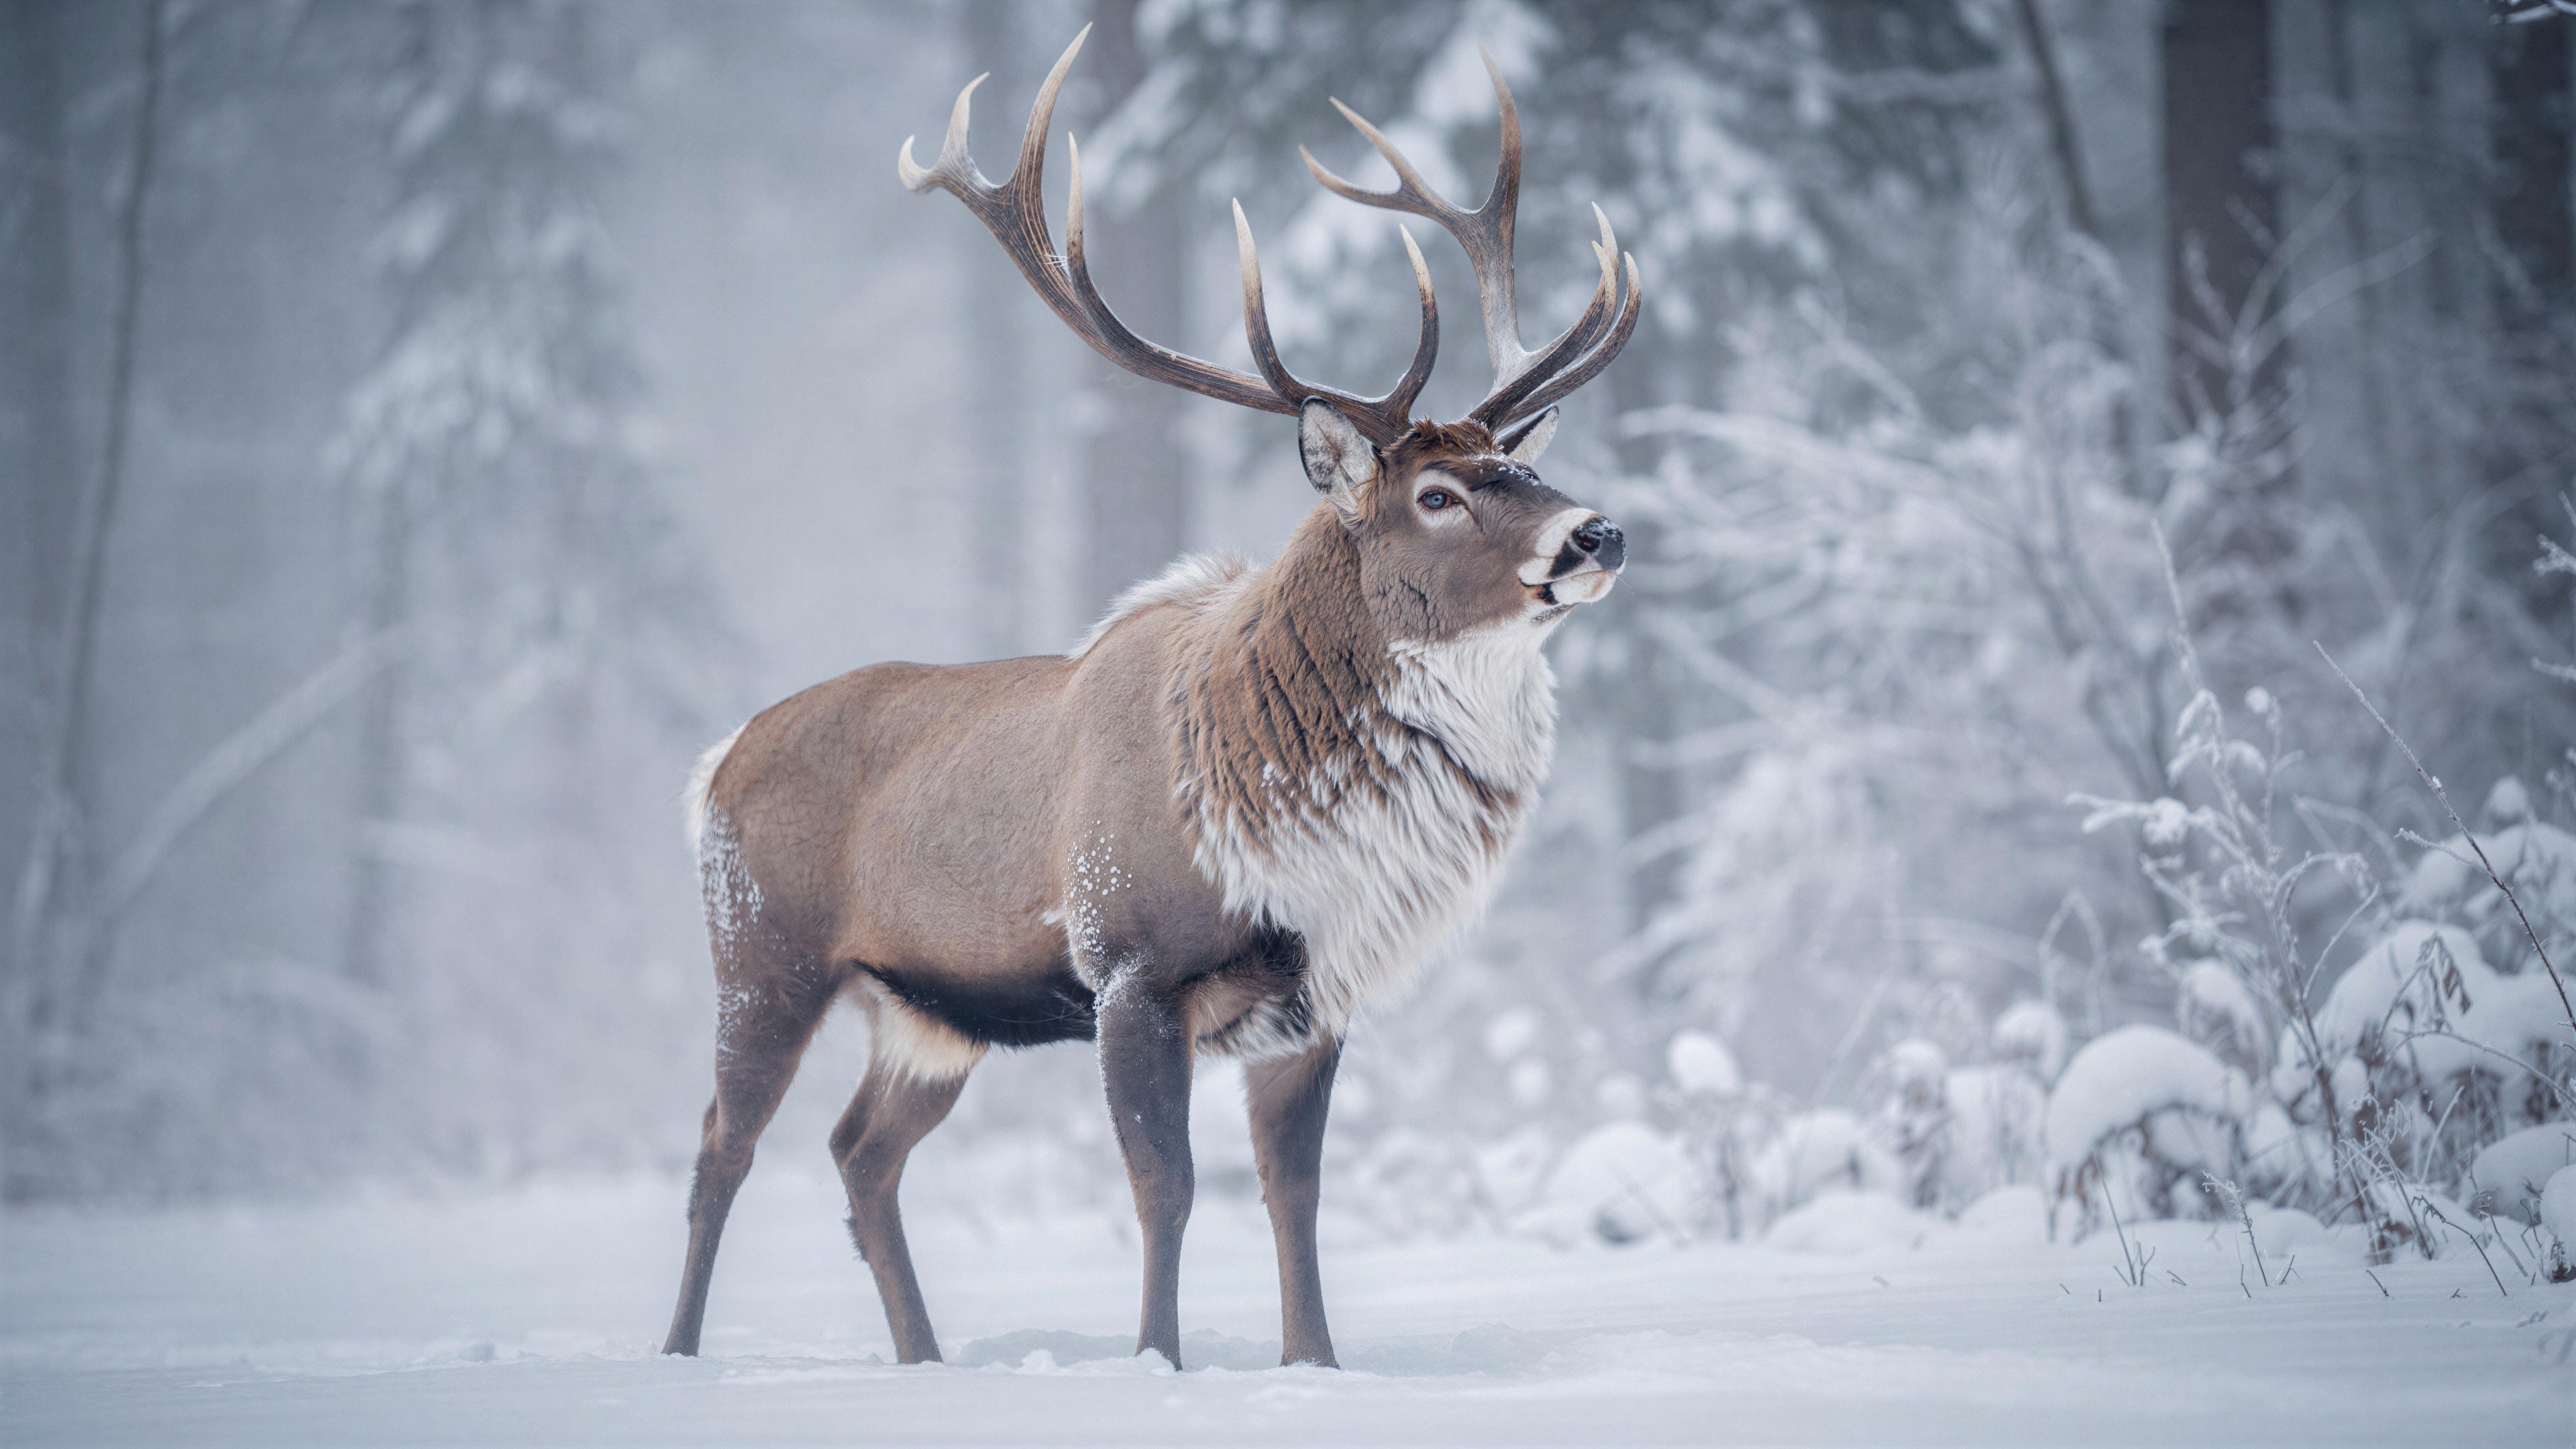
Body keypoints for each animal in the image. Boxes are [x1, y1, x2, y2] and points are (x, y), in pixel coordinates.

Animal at [660, 26, 1638, 1371]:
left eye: (1520, 462)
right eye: (1435, 494)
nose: (1597, 531)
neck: (1274, 813)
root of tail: (714, 762)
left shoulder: (1312, 999)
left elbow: (1293, 1193)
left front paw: (1314, 1365)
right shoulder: (1127, 962)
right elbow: (1164, 1187)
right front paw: (1156, 1363)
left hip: (930, 1012)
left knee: (860, 1155)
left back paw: (925, 1359)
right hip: (762, 953)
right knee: (721, 1147)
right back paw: (680, 1353)